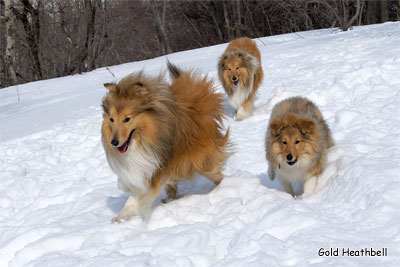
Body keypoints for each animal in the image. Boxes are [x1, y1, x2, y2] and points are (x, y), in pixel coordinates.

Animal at [101, 61, 230, 223]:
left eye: (127, 119)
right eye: (111, 119)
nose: (114, 142)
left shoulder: (156, 169)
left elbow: (136, 198)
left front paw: (124, 216)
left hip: (203, 160)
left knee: (216, 174)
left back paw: (224, 187)